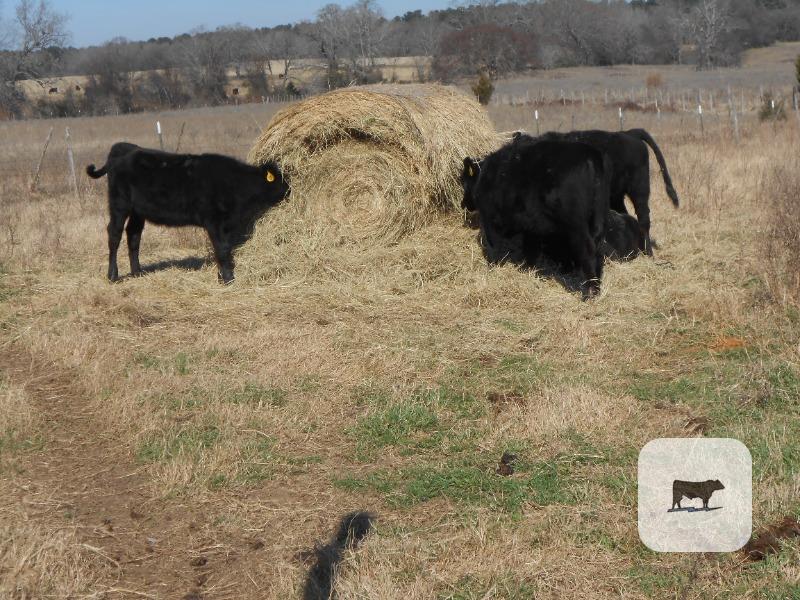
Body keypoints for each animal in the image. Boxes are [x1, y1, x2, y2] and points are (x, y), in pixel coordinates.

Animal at [86, 142, 289, 284]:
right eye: (282, 178)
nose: (289, 189)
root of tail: (126, 150)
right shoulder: (213, 221)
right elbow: (222, 249)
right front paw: (228, 279)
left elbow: (224, 250)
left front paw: (221, 276)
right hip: (119, 205)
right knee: (114, 234)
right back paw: (113, 275)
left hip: (138, 211)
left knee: (133, 235)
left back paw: (137, 272)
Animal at [462, 137, 611, 299]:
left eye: (463, 182)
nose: (463, 204)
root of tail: (589, 155)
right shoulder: (531, 226)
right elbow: (531, 250)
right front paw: (527, 270)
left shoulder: (490, 219)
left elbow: (493, 248)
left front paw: (493, 270)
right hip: (598, 218)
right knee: (597, 248)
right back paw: (596, 286)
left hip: (576, 225)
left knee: (587, 249)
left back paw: (589, 292)